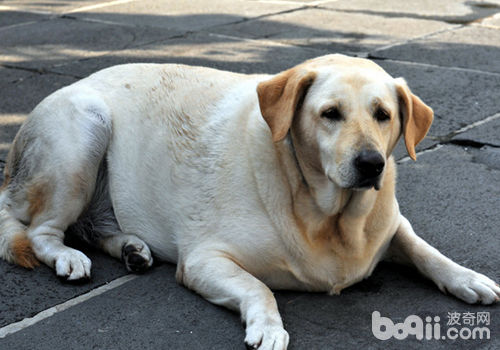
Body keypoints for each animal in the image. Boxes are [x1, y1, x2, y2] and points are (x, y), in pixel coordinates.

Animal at [0, 54, 500, 348]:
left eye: (383, 114)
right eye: (330, 114)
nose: (371, 164)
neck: (329, 216)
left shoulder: (392, 225)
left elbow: (425, 250)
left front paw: (467, 277)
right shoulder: (203, 259)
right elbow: (259, 287)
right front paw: (269, 327)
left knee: (92, 226)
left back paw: (130, 247)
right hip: (83, 131)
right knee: (41, 231)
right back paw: (67, 256)